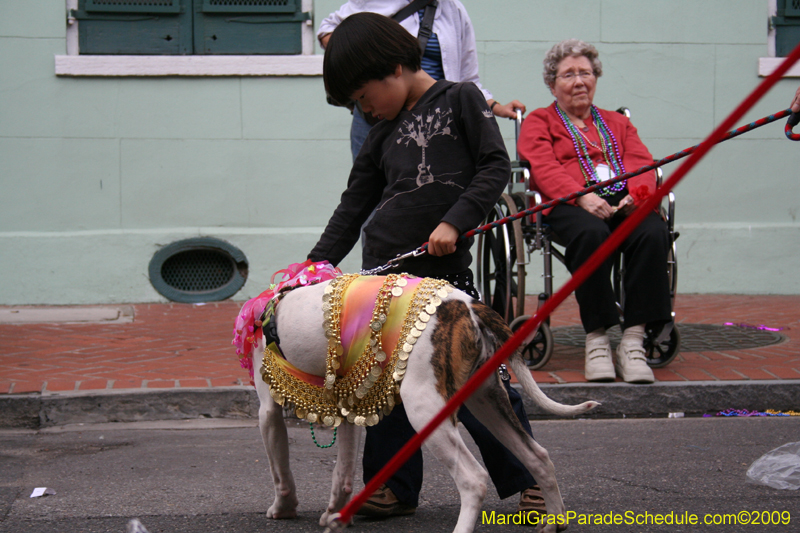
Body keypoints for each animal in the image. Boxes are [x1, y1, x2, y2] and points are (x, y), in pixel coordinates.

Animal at [253, 278, 596, 532]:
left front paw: (282, 508)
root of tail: (472, 306)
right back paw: (555, 521)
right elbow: (343, 472)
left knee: (474, 479)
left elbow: (279, 471)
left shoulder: (268, 413)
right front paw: (335, 514)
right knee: (538, 457)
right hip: (486, 401)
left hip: (426, 409)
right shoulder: (348, 411)